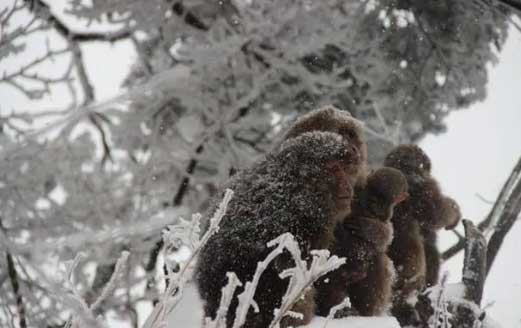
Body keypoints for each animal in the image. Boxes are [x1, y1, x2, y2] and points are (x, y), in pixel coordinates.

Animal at [314, 168, 408, 316]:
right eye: (373, 199)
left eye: (382, 201)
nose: (375, 207)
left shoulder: (385, 215)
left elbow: (385, 236)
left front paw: (368, 228)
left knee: (377, 260)